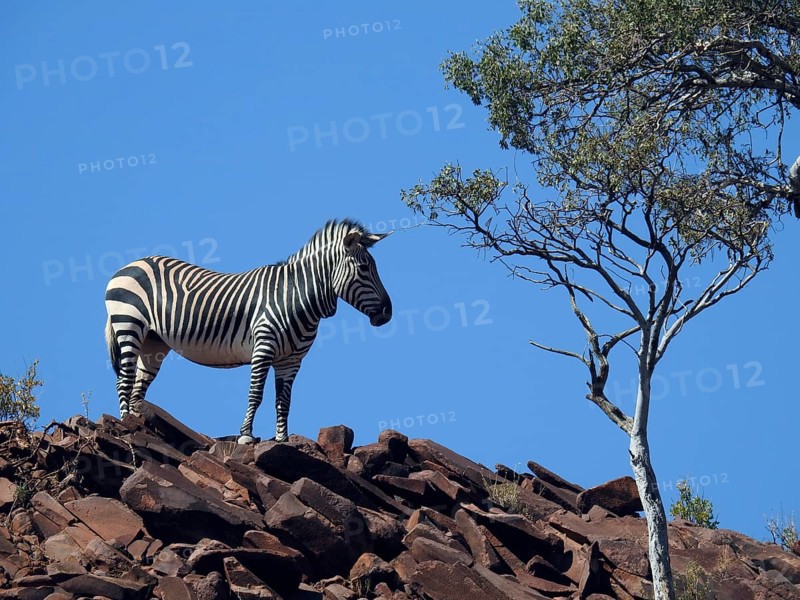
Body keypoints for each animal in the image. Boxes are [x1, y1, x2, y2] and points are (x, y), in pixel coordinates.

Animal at [104, 219, 392, 443]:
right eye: (364, 269)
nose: (388, 313)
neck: (295, 296)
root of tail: (132, 263)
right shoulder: (263, 347)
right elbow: (256, 394)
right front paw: (245, 435)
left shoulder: (291, 361)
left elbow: (283, 402)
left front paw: (282, 439)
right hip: (128, 324)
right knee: (124, 379)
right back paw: (126, 422)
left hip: (154, 342)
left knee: (138, 384)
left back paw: (140, 423)